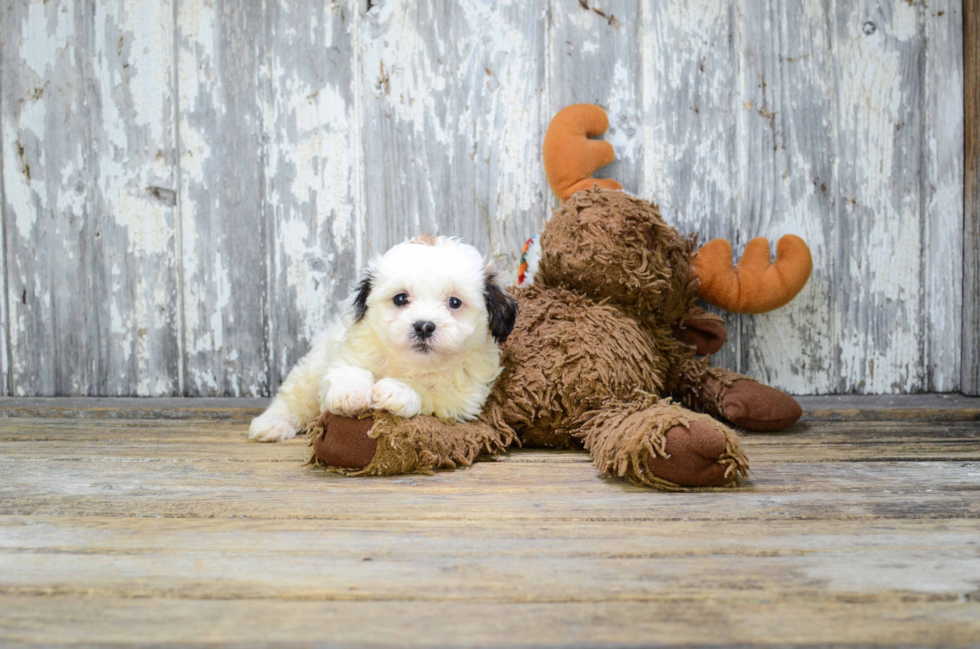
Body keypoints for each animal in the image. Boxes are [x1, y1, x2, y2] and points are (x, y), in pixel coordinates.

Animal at [249, 235, 516, 442]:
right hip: (312, 369)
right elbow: (348, 371)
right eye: (400, 299)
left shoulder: (462, 397)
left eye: (454, 302)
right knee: (293, 397)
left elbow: (430, 391)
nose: (424, 326)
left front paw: (397, 390)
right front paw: (350, 393)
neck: (412, 363)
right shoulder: (349, 353)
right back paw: (271, 424)